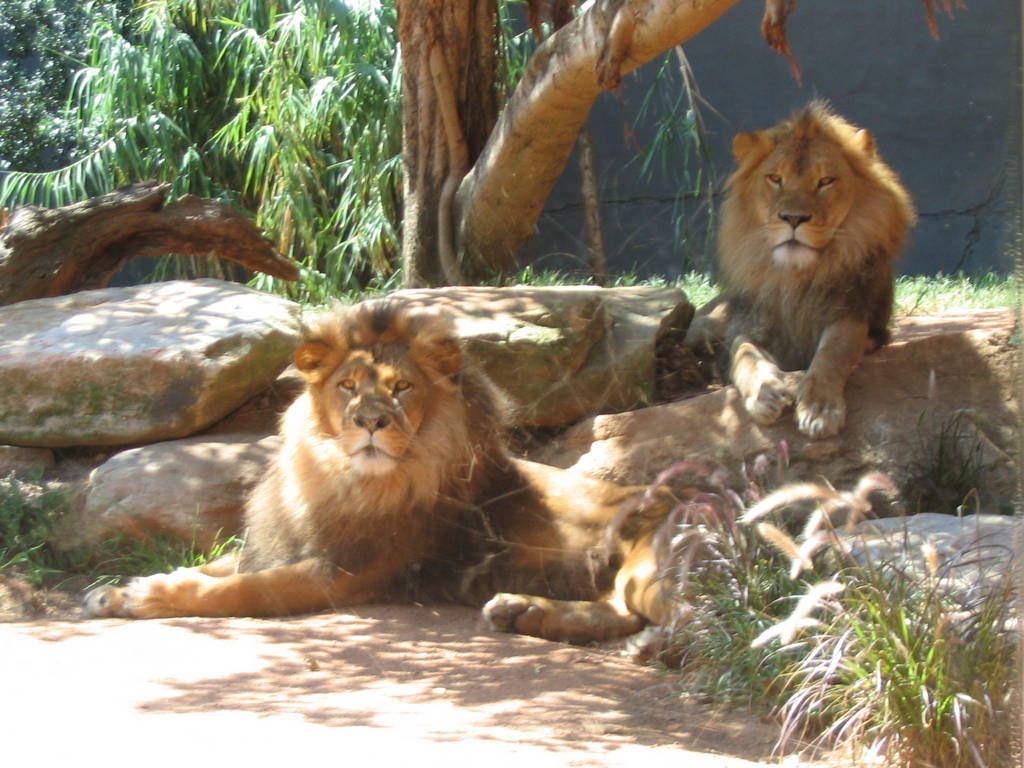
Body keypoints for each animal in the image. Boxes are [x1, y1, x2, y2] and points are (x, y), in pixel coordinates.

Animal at [82, 299, 673, 645]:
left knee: (659, 619)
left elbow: (237, 592)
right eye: (348, 386)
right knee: (617, 612)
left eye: (402, 388)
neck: (335, 477)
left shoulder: (346, 572)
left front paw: (149, 597)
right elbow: (215, 568)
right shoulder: (283, 544)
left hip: (646, 568)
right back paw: (522, 612)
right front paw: (115, 593)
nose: (370, 421)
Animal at [684, 101, 916, 439]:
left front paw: (819, 409)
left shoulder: (850, 314)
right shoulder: (748, 322)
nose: (793, 218)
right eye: (775, 178)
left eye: (826, 181)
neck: (795, 276)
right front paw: (764, 394)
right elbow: (744, 353)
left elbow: (833, 353)